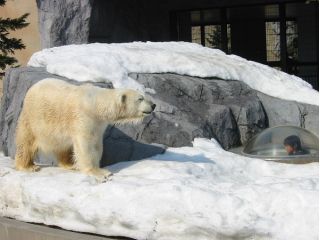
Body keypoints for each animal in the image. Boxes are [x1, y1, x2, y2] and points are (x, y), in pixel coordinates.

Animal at [15, 79, 156, 180]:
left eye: (144, 96)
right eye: (140, 98)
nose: (153, 105)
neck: (94, 104)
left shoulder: (98, 124)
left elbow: (97, 145)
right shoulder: (82, 118)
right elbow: (86, 146)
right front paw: (100, 173)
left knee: (62, 146)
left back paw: (69, 165)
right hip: (33, 118)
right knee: (26, 143)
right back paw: (28, 166)